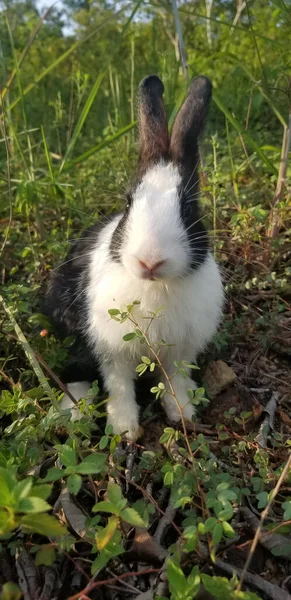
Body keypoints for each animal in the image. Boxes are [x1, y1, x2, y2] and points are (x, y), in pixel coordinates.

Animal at [43, 74, 225, 440]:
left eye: (189, 209)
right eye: (128, 203)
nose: (149, 261)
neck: (157, 287)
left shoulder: (180, 351)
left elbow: (175, 382)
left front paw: (184, 414)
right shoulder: (112, 350)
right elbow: (119, 385)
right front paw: (124, 430)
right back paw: (75, 411)